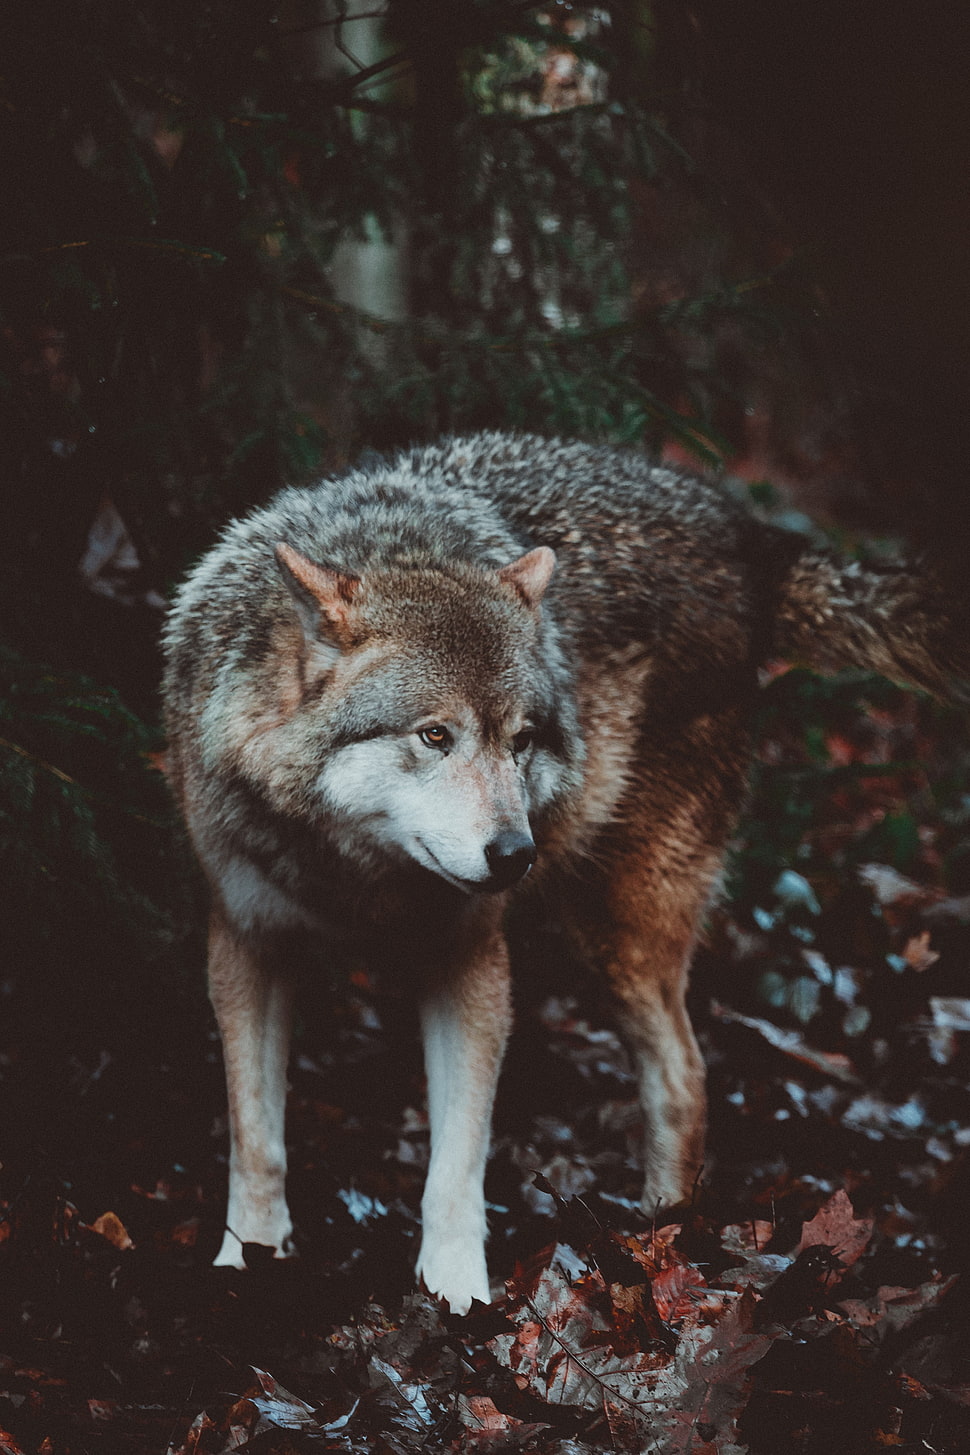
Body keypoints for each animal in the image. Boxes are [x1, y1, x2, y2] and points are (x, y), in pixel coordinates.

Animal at [162, 432, 964, 1314]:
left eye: (520, 740)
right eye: (435, 735)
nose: (517, 854)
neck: (357, 875)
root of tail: (743, 532)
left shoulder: (471, 959)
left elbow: (456, 1167)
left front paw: (457, 1299)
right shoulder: (247, 942)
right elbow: (256, 1138)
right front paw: (248, 1262)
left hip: (617, 933)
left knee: (685, 1078)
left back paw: (659, 1240)